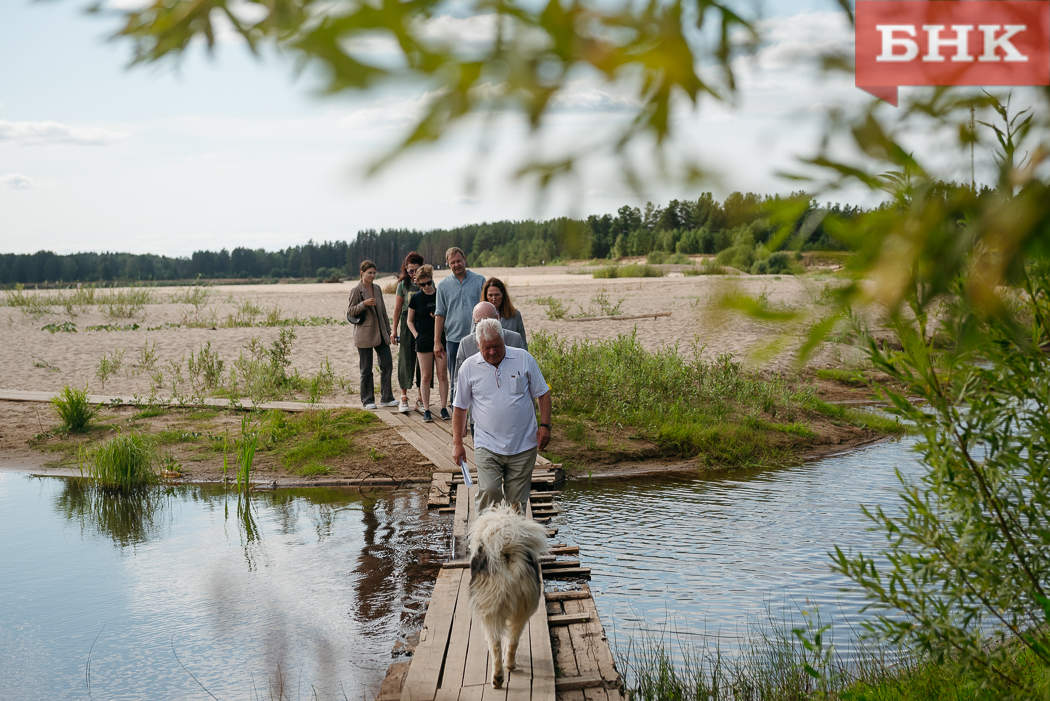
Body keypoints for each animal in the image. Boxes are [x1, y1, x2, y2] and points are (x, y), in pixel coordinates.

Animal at [468, 501, 550, 688]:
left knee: (495, 644)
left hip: (489, 610)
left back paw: (498, 676)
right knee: (512, 641)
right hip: (523, 609)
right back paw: (508, 668)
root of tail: (507, 552)